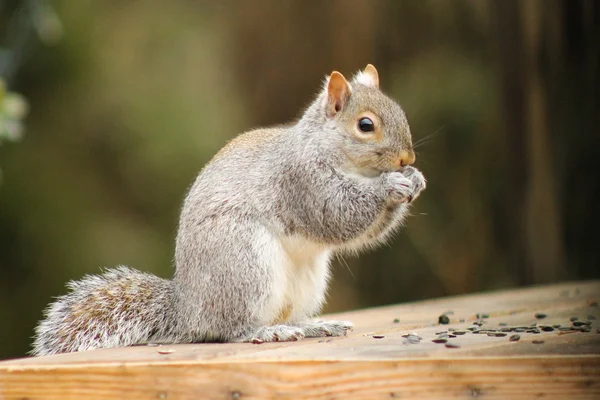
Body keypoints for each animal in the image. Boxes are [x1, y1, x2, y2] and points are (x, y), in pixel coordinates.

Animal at [30, 65, 424, 356]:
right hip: (245, 263)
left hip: (306, 281)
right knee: (230, 329)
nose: (408, 158)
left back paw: (312, 325)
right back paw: (264, 333)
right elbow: (338, 214)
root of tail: (188, 310)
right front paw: (390, 186)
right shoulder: (302, 181)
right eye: (366, 125)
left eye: (401, 113)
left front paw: (414, 179)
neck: (328, 149)